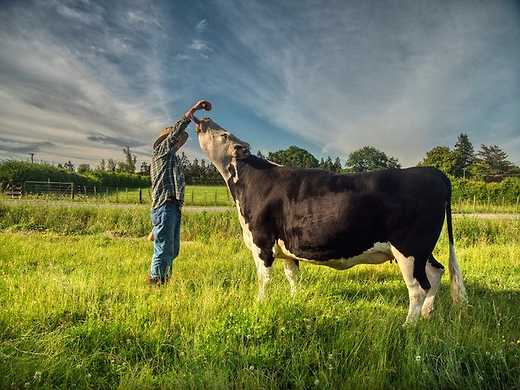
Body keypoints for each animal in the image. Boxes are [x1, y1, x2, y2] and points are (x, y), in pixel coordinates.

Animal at [194, 117, 468, 324]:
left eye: (223, 134)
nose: (204, 120)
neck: (252, 180)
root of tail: (432, 172)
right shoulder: (287, 250)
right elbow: (293, 277)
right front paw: (295, 301)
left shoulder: (261, 243)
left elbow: (264, 280)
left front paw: (259, 305)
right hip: (422, 248)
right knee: (436, 272)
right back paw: (427, 314)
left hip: (408, 247)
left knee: (417, 287)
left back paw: (408, 325)